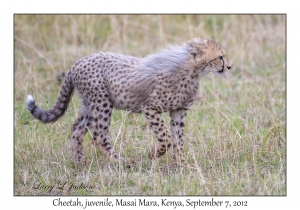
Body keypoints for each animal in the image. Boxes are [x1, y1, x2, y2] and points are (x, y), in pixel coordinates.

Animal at [26, 37, 232, 167]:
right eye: (220, 57)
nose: (229, 67)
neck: (192, 70)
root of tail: (78, 63)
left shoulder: (178, 112)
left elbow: (178, 140)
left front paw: (183, 166)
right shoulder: (150, 107)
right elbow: (166, 138)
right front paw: (153, 154)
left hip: (90, 105)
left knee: (77, 130)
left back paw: (80, 163)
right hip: (102, 103)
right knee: (99, 136)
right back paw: (121, 162)